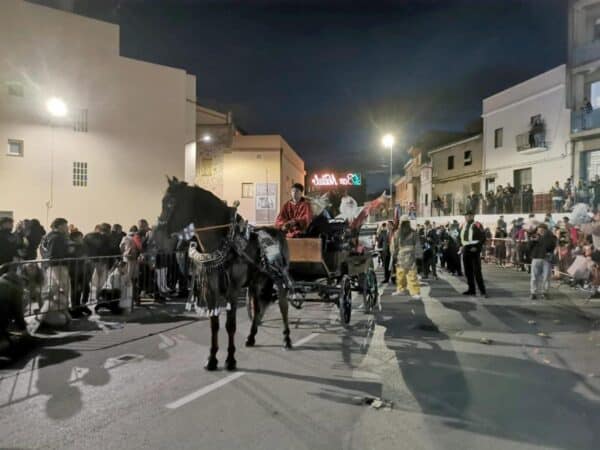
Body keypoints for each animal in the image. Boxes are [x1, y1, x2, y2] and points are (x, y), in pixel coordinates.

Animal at [152, 178, 292, 370]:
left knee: (283, 306)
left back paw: (287, 338)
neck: (224, 242)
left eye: (171, 203)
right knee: (257, 308)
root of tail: (279, 230)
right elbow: (214, 324)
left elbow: (230, 325)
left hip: (278, 277)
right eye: (162, 201)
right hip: (257, 281)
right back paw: (251, 337)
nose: (157, 238)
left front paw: (230, 359)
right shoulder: (211, 290)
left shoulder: (233, 289)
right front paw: (212, 359)